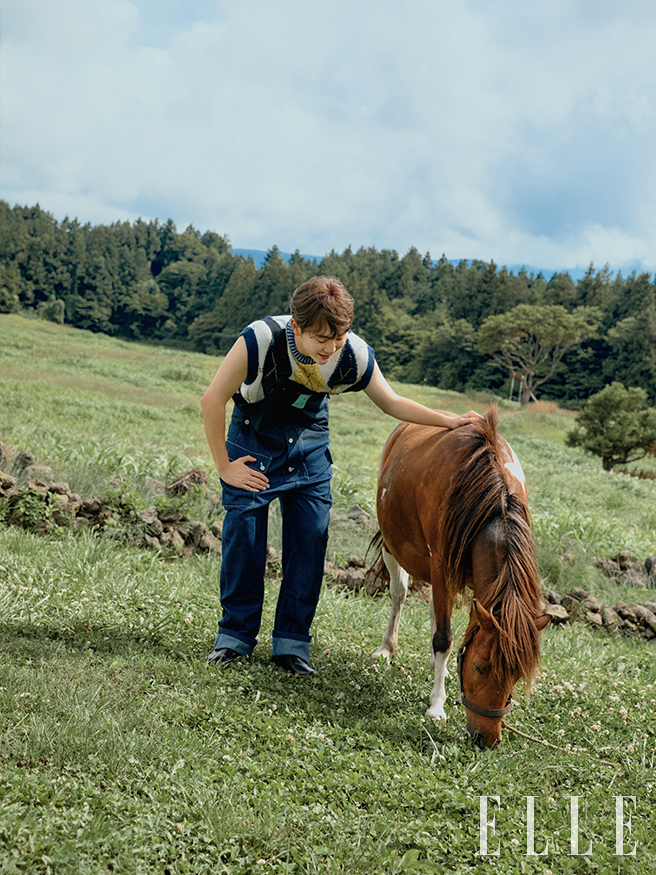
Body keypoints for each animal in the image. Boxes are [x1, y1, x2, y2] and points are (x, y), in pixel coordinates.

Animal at [370, 407, 550, 749]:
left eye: (516, 676)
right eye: (480, 667)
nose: (487, 739)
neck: (492, 499)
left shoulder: (479, 586)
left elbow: (460, 632)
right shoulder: (441, 567)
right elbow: (444, 638)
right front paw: (436, 705)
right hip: (392, 545)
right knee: (399, 595)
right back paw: (388, 647)